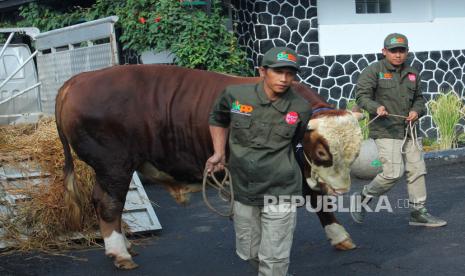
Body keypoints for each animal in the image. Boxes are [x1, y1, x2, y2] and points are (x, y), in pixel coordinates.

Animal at [55, 63, 362, 268]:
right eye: (322, 152)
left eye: (356, 151)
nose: (341, 190)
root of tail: (80, 79)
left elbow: (317, 200)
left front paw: (339, 236)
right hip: (114, 166)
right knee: (108, 203)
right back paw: (120, 252)